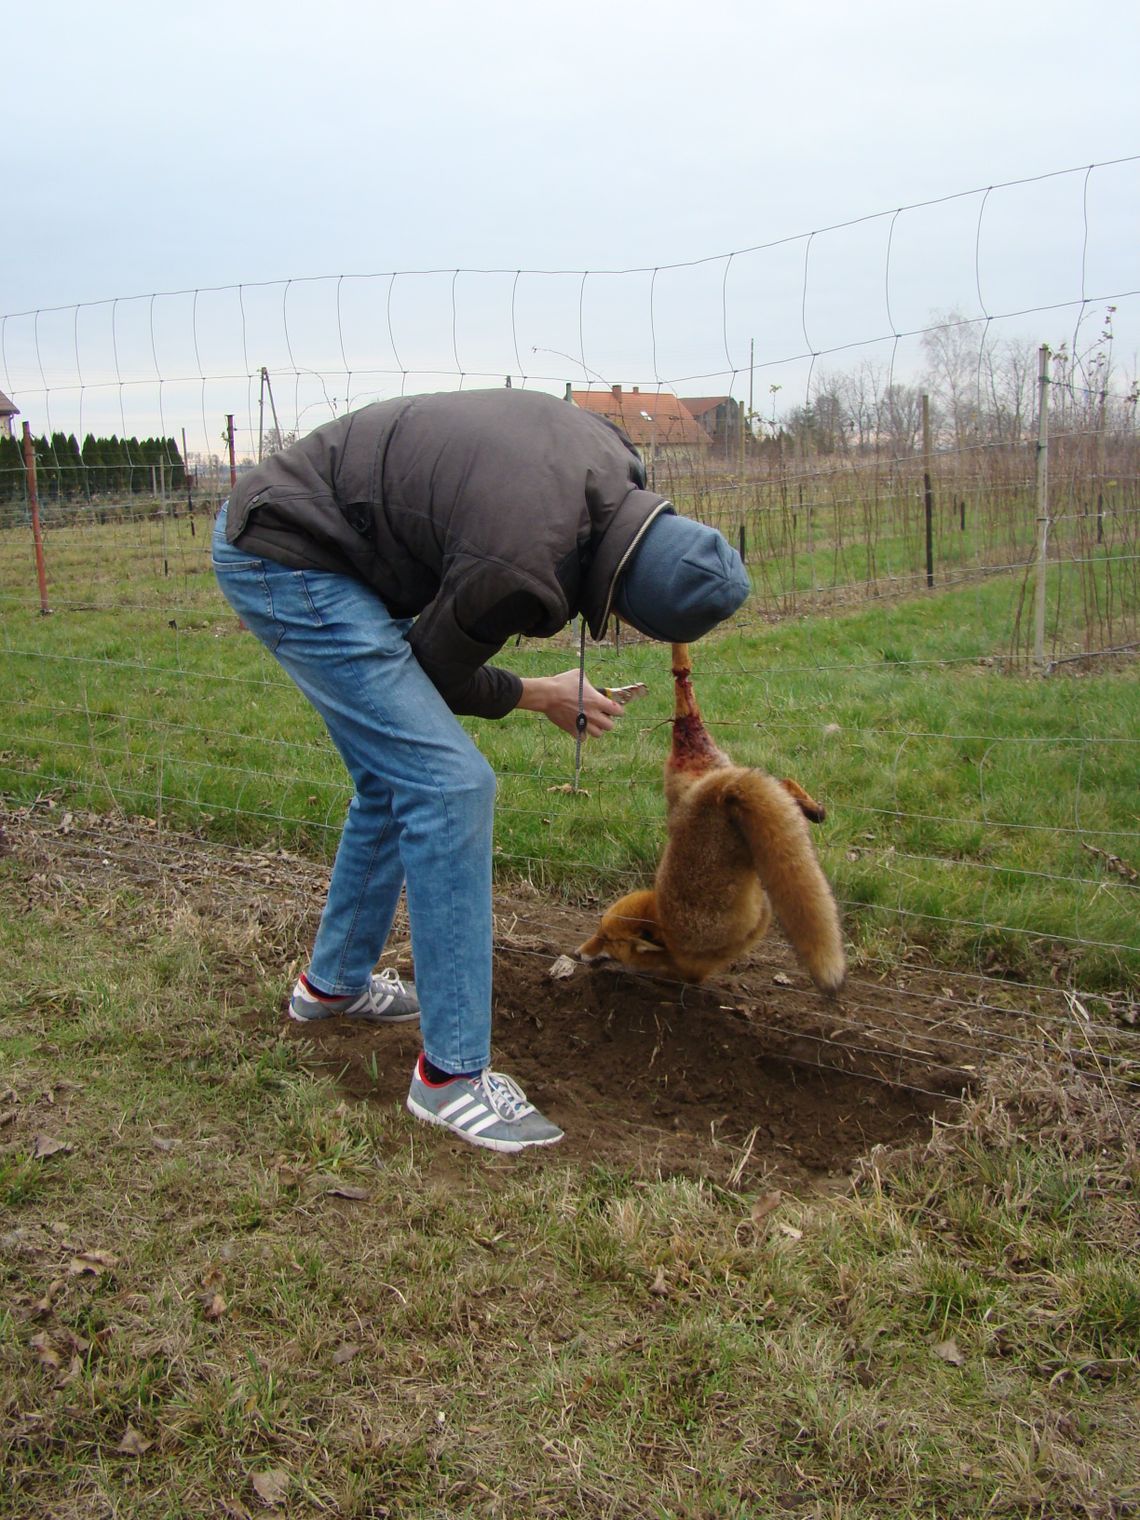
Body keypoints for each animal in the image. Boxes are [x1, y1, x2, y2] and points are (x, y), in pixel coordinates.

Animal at [580, 644, 851, 991]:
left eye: (606, 939)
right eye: (598, 929)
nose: (577, 952)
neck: (668, 928)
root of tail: (719, 789)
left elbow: (688, 975)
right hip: (747, 786)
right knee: (783, 784)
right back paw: (814, 809)